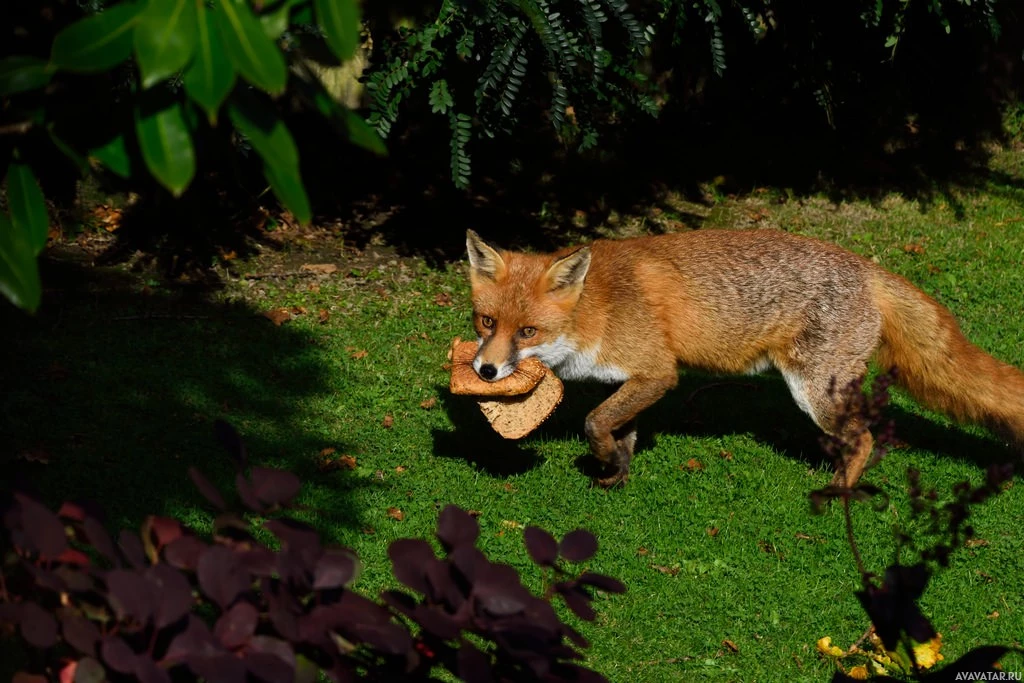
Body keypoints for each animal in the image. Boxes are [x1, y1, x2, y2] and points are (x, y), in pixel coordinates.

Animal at [468, 232, 1024, 489]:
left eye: (528, 331)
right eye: (487, 323)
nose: (485, 371)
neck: (596, 308)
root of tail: (867, 267)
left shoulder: (658, 371)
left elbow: (593, 421)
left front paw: (604, 460)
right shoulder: (635, 378)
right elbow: (619, 429)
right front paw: (616, 471)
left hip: (813, 390)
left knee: (865, 438)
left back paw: (839, 492)